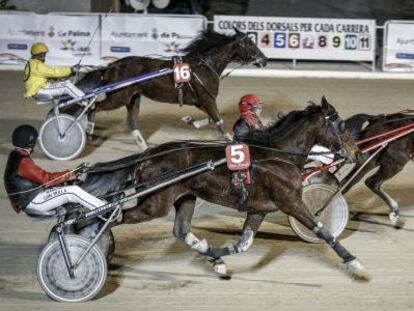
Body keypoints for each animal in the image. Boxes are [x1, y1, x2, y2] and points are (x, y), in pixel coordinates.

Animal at [70, 28, 266, 151]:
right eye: (250, 43)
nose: (264, 60)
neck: (204, 66)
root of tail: (111, 67)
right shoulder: (208, 99)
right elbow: (220, 124)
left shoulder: (203, 101)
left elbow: (212, 119)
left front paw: (189, 120)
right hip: (119, 97)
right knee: (94, 108)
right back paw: (89, 132)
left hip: (133, 98)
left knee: (132, 123)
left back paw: (144, 149)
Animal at [85, 97, 368, 280]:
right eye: (341, 124)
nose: (356, 152)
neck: (277, 155)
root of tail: (148, 155)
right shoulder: (291, 202)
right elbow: (323, 231)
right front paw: (354, 262)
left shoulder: (259, 209)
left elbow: (242, 244)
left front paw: (215, 257)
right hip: (156, 203)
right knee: (116, 217)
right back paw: (90, 245)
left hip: (185, 198)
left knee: (181, 231)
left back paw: (211, 257)